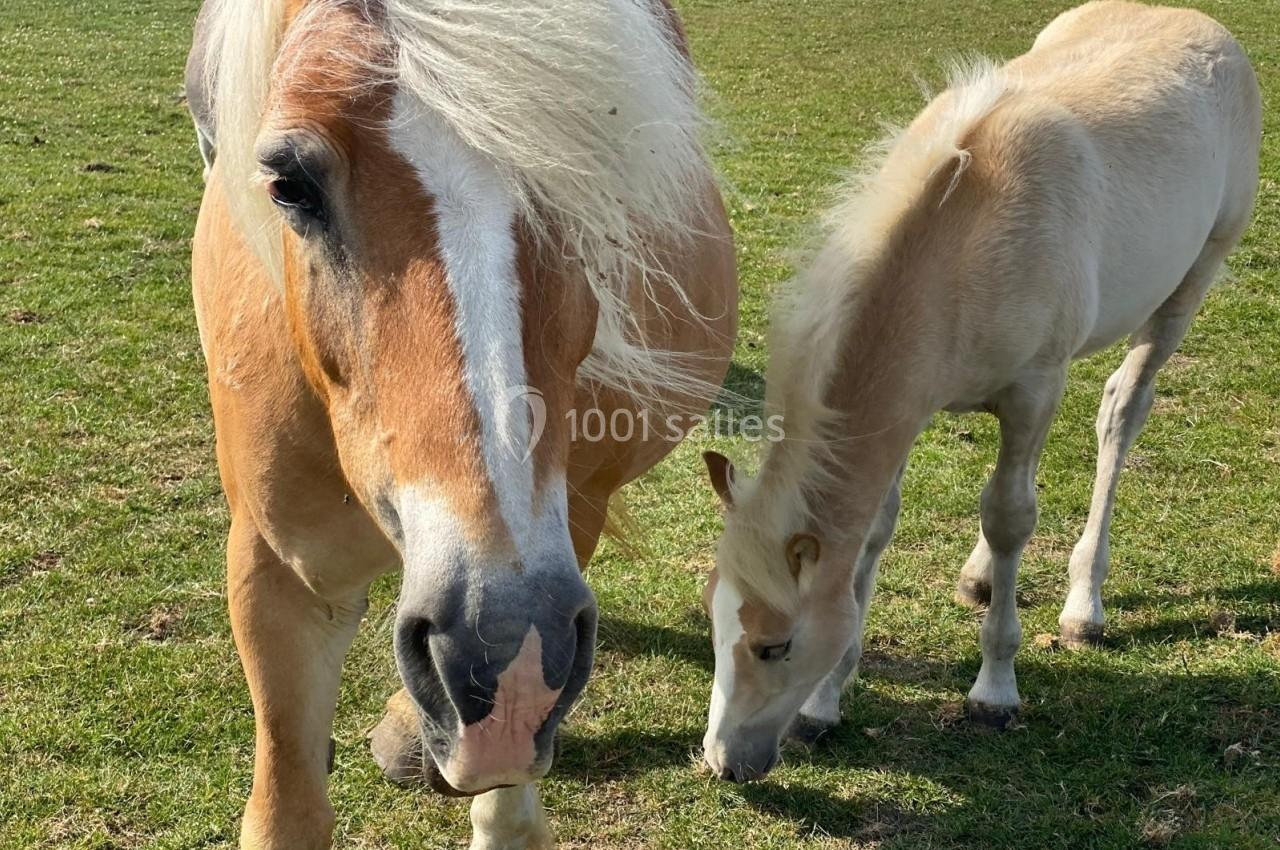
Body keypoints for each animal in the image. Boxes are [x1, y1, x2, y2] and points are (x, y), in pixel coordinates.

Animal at [698, 0, 1260, 783]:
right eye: (713, 621)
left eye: (774, 646)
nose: (722, 762)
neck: (963, 238)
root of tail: (1202, 26)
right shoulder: (908, 407)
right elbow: (879, 529)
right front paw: (824, 705)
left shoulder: (1033, 392)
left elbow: (1010, 516)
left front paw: (994, 691)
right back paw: (979, 577)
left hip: (1192, 281)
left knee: (1123, 410)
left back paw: (1084, 606)